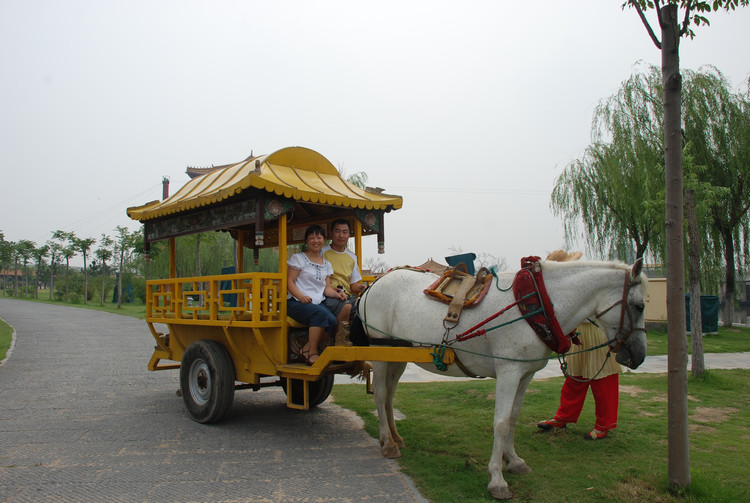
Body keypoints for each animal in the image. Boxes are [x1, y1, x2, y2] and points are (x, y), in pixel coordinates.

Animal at [356, 258, 648, 502]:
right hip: (379, 350)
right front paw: (497, 478)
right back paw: (388, 444)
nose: (639, 355)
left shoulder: (526, 374)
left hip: (397, 355)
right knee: (380, 394)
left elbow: (515, 418)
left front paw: (514, 460)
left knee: (390, 394)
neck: (535, 305)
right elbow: (502, 422)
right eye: (639, 305)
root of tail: (373, 286)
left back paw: (395, 437)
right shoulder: (509, 371)